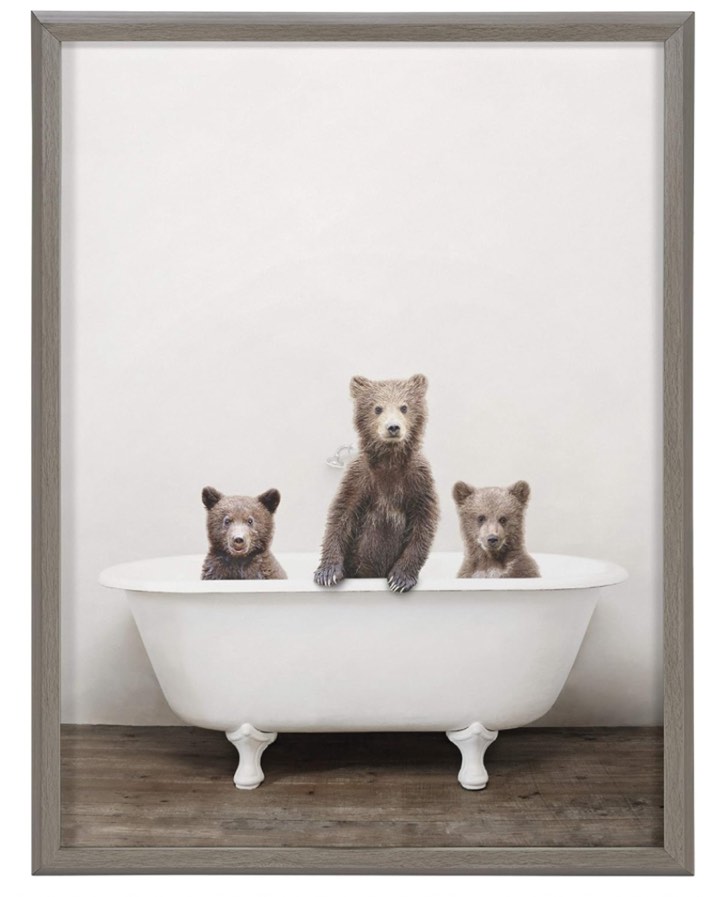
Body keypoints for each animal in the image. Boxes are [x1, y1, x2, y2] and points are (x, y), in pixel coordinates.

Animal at [314, 374, 439, 592]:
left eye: (404, 406)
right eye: (377, 408)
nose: (393, 427)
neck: (389, 461)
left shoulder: (418, 479)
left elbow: (423, 523)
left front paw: (400, 578)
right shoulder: (360, 477)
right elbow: (341, 515)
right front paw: (327, 572)